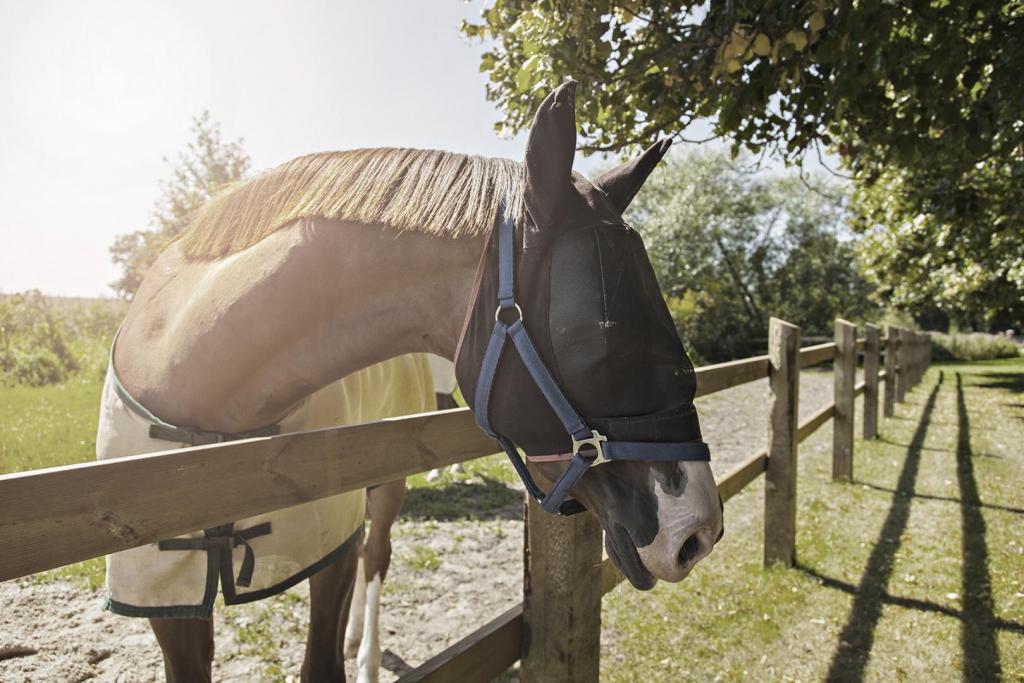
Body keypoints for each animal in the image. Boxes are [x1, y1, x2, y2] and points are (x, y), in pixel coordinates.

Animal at [103, 78, 724, 679]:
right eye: (603, 328)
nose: (698, 530)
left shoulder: (330, 546)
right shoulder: (165, 592)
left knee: (374, 554)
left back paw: (366, 653)